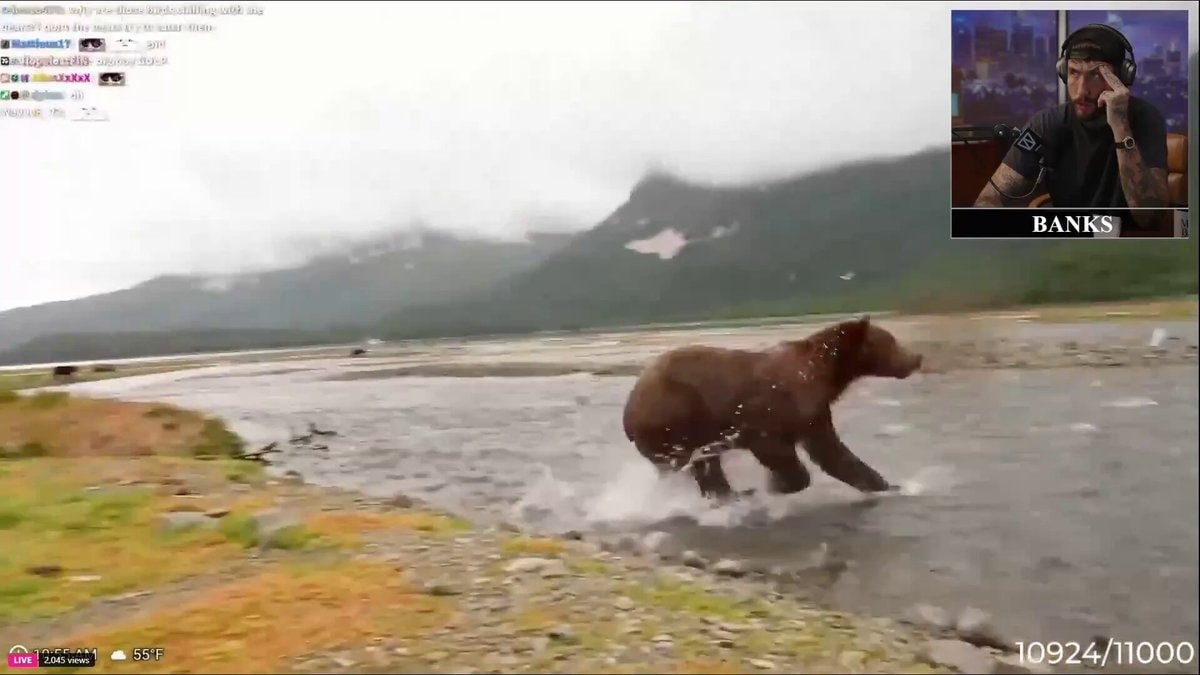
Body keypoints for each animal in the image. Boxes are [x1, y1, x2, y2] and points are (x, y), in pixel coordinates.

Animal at [621, 316, 923, 501]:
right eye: (890, 340)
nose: (916, 357)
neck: (822, 374)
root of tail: (628, 410)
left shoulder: (813, 413)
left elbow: (833, 453)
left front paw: (887, 485)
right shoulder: (768, 409)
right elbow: (773, 447)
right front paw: (779, 485)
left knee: (706, 464)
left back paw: (732, 495)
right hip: (674, 417)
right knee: (693, 463)